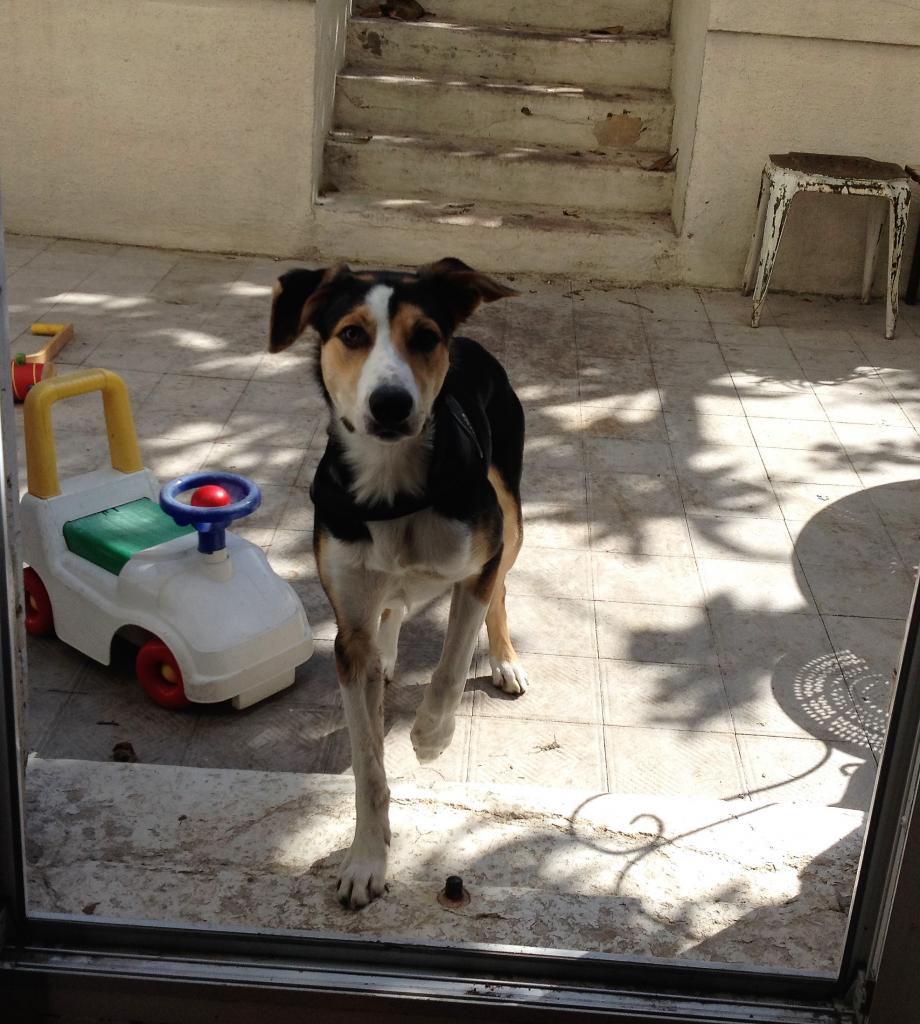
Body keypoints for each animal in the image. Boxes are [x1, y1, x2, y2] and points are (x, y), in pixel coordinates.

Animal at [268, 260, 528, 909]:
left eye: (425, 337)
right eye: (352, 335)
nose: (391, 404)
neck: (393, 491)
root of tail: (475, 345)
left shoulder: (478, 564)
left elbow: (452, 664)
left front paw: (431, 736)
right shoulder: (346, 636)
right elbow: (368, 769)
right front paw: (366, 860)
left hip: (511, 516)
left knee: (499, 592)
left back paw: (504, 660)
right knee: (392, 605)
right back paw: (388, 649)